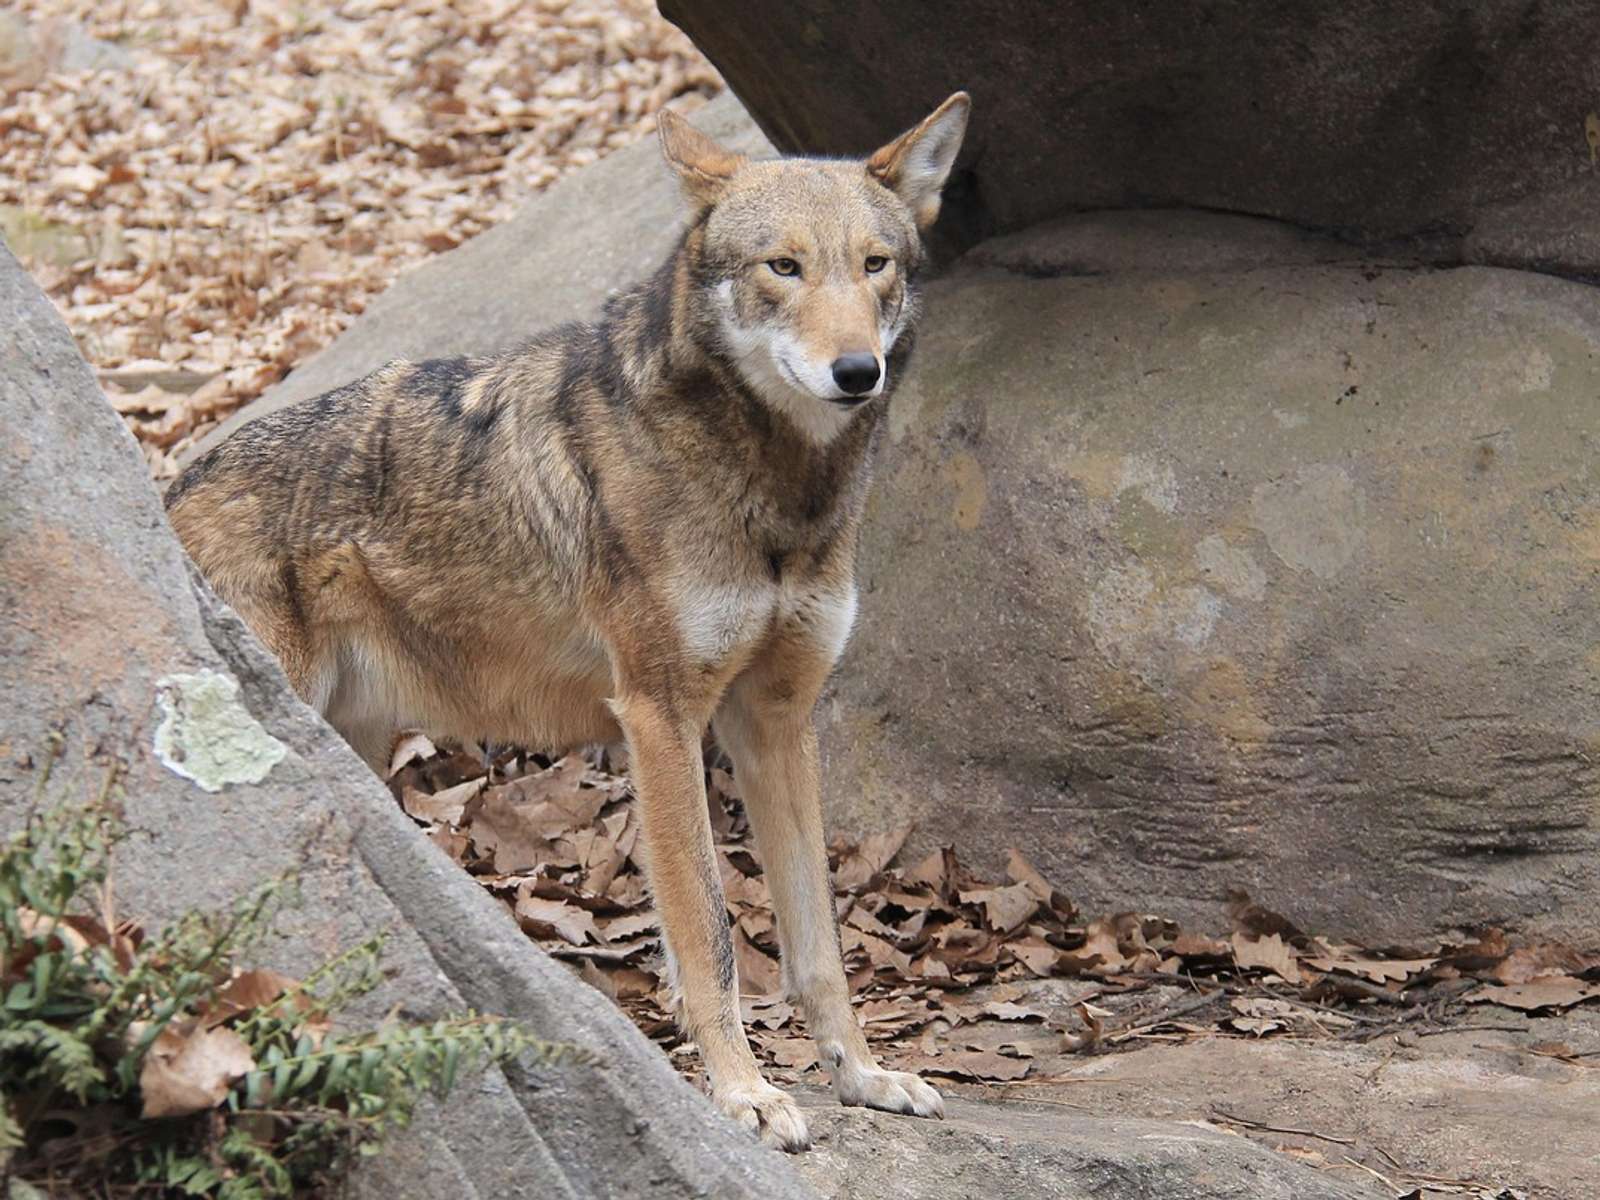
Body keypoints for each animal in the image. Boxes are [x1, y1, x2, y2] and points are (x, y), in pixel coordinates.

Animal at [164, 91, 971, 1151]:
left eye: (873, 264)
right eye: (782, 267)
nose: (856, 371)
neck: (777, 493)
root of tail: (170, 487)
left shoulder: (775, 722)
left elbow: (819, 944)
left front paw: (865, 1076)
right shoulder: (661, 719)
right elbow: (708, 934)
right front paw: (744, 1094)